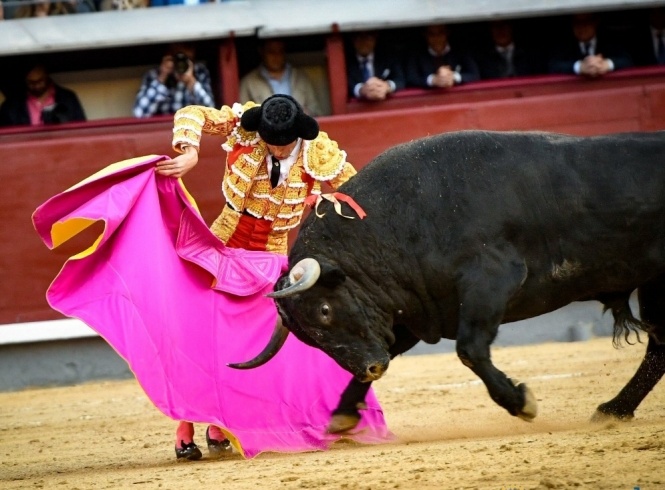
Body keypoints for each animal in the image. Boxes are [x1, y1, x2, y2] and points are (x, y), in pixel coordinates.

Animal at [230, 130, 664, 432]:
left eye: (323, 310)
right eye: (310, 340)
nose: (371, 368)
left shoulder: (490, 280)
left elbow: (470, 349)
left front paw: (520, 401)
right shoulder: (412, 312)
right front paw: (342, 415)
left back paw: (611, 409)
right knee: (659, 348)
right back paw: (614, 410)